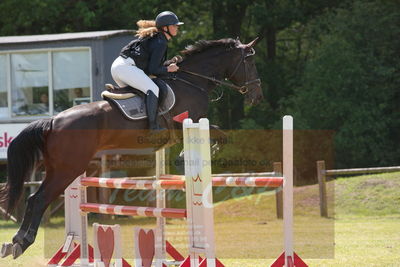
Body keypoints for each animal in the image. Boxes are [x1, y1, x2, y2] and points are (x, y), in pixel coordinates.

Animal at [0, 37, 262, 260]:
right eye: (249, 62)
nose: (257, 97)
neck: (192, 81)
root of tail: (53, 121)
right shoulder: (186, 123)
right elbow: (220, 134)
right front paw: (188, 156)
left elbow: (219, 135)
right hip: (69, 169)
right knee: (39, 199)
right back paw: (22, 242)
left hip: (58, 168)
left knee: (33, 198)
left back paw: (15, 242)